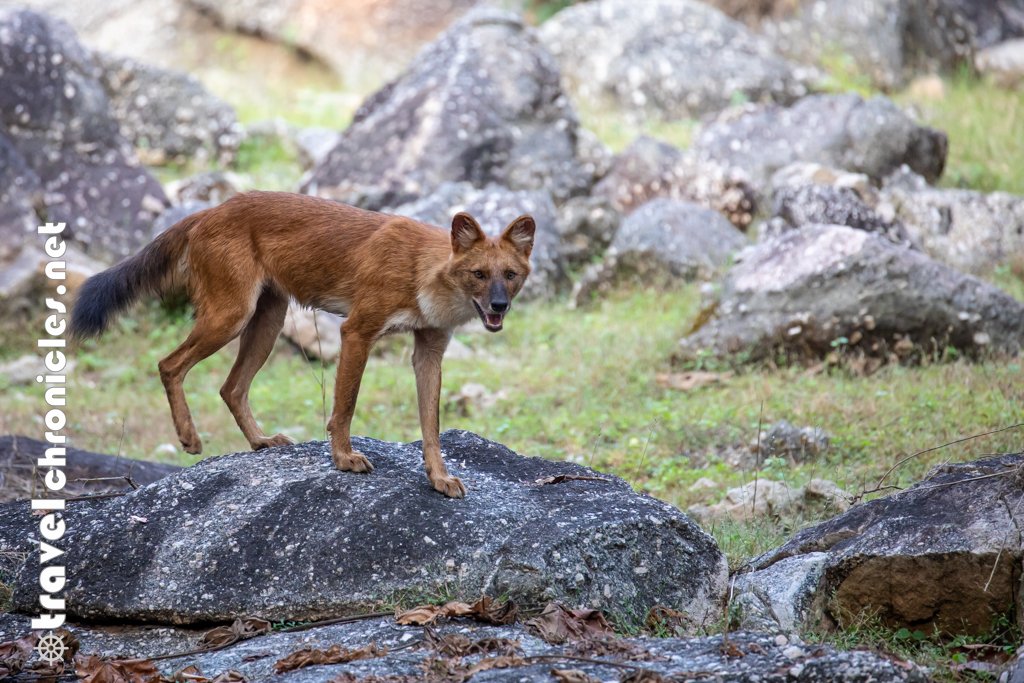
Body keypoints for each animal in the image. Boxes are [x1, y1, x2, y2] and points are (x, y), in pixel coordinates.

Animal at [70, 189, 536, 499]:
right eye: (478, 274)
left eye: (510, 275)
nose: (499, 305)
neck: (424, 271)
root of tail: (211, 208)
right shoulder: (357, 332)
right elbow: (344, 406)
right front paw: (344, 459)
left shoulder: (429, 351)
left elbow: (431, 426)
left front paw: (438, 479)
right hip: (230, 317)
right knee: (170, 364)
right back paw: (189, 438)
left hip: (268, 320)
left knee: (230, 387)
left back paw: (259, 442)